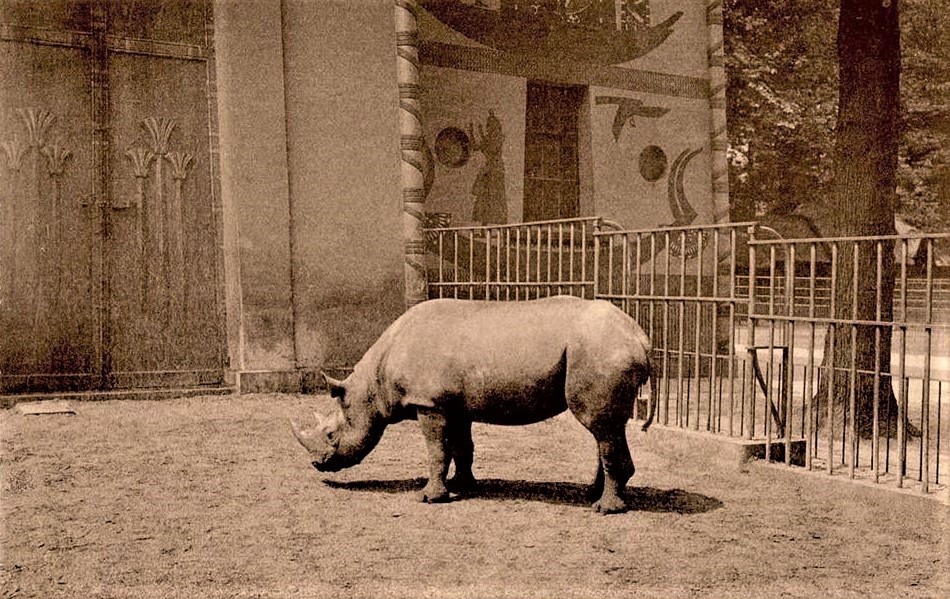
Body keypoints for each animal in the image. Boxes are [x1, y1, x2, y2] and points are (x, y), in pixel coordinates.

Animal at [291, 295, 656, 514]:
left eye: (332, 434)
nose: (317, 465)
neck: (374, 379)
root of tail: (640, 336)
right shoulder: (452, 405)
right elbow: (461, 447)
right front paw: (462, 485)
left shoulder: (429, 404)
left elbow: (437, 450)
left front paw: (429, 498)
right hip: (600, 348)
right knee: (605, 428)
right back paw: (591, 494)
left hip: (600, 349)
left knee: (601, 426)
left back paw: (604, 508)